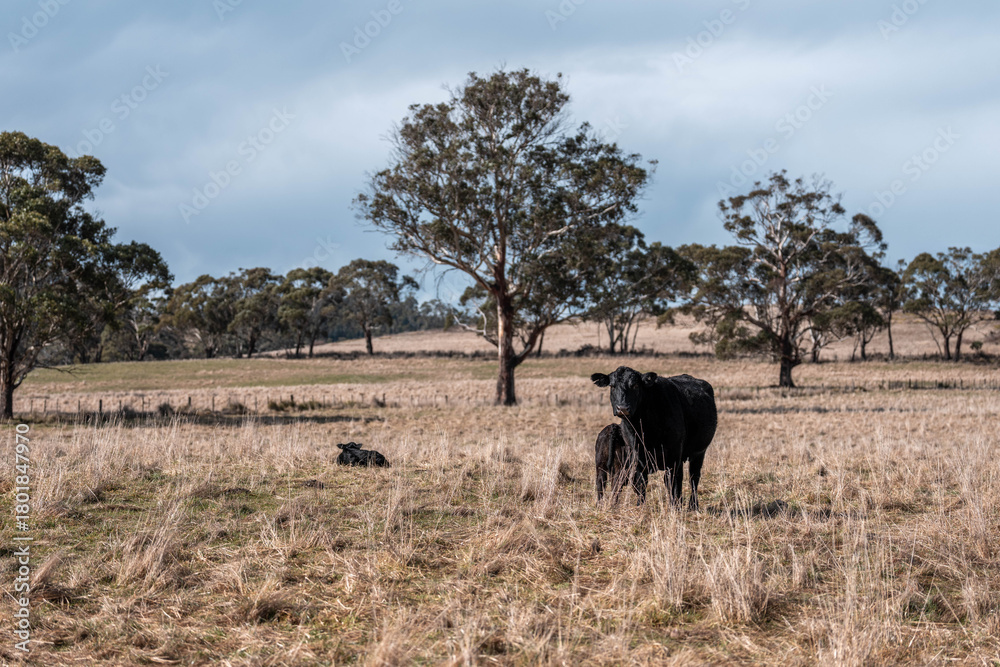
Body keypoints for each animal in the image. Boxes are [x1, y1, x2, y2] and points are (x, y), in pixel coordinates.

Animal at [591, 367, 717, 509]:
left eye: (635, 385)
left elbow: (673, 483)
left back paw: (692, 505)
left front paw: (675, 506)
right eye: (612, 386)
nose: (622, 408)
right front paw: (640, 505)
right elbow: (641, 483)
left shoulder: (674, 458)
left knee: (693, 478)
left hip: (699, 453)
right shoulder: (637, 459)